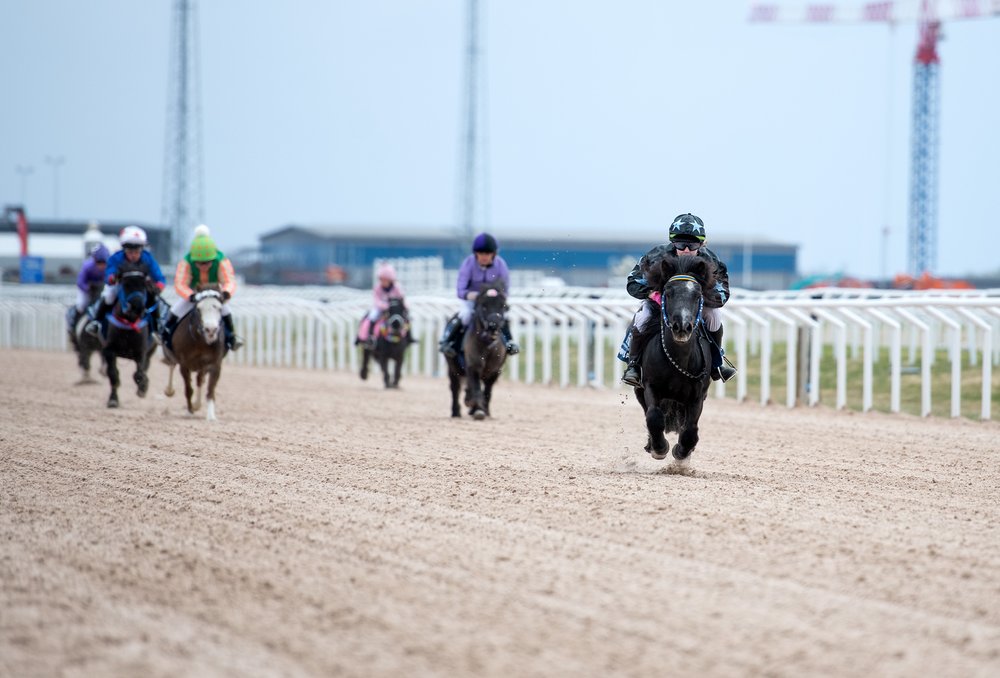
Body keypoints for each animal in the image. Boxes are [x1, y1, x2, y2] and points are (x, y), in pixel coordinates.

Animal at [99, 262, 160, 406]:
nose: (137, 307)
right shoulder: (109, 350)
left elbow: (139, 374)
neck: (129, 323)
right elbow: (113, 374)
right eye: (126, 284)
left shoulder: (141, 352)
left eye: (144, 285)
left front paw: (143, 387)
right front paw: (113, 399)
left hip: (150, 351)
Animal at [162, 286, 227, 420]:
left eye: (219, 308)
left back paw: (197, 404)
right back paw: (169, 390)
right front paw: (189, 411)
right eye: (198, 308)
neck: (201, 342)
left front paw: (211, 416)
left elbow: (210, 389)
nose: (210, 330)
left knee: (199, 379)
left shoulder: (214, 364)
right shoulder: (184, 364)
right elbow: (188, 389)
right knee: (172, 363)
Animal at [444, 280, 508, 420]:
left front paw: (484, 410)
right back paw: (456, 412)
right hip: (453, 367)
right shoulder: (473, 366)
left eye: (503, 305)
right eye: (484, 305)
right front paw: (477, 409)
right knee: (455, 387)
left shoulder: (495, 371)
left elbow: (487, 391)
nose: (493, 325)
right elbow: (476, 388)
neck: (487, 344)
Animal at [636, 254, 716, 462]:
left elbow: (690, 429)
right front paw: (659, 448)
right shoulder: (650, 386)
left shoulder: (697, 396)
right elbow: (654, 417)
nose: (682, 326)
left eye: (697, 295)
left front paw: (682, 452)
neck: (678, 360)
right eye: (668, 293)